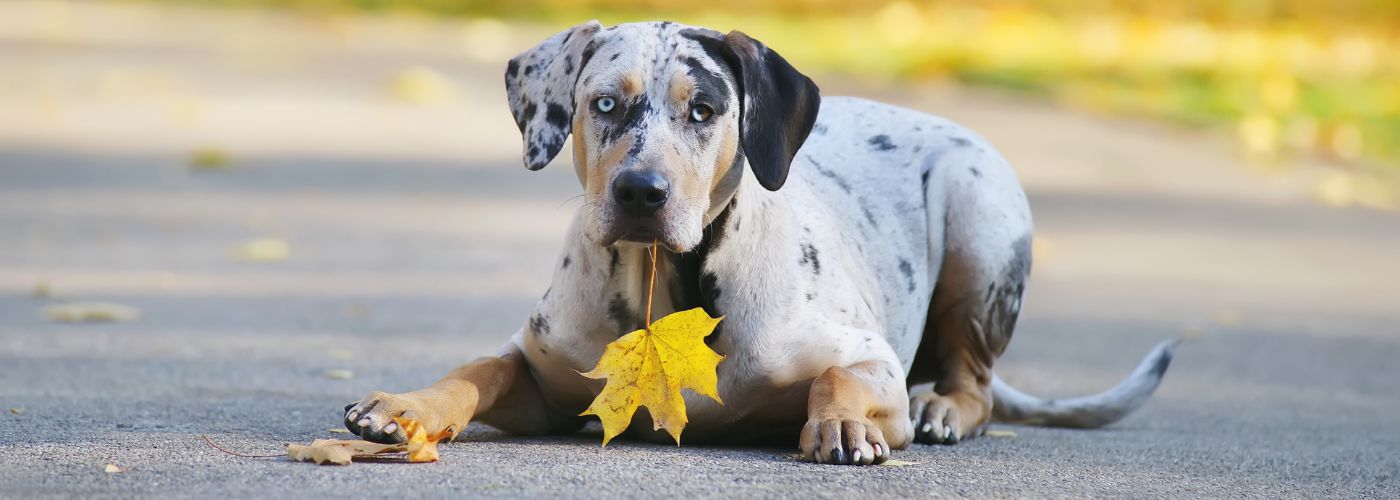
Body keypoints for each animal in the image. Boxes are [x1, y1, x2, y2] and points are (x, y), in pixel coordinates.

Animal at [344, 19, 1176, 462]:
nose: (640, 193)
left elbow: (838, 377)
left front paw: (842, 422)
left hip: (979, 218)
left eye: (704, 109)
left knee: (973, 383)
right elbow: (478, 369)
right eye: (604, 104)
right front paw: (407, 405)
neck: (664, 288)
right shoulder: (544, 376)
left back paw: (942, 407)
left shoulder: (865, 352)